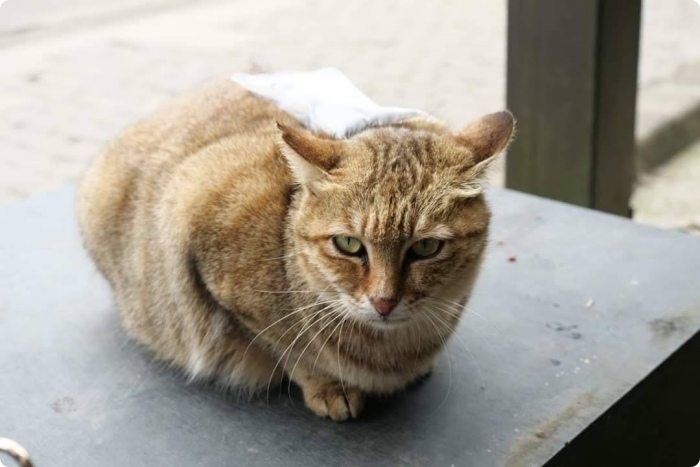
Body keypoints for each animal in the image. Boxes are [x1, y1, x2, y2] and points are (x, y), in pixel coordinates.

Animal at [78, 78, 516, 422]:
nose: (384, 302)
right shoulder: (199, 218)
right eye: (349, 244)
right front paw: (328, 385)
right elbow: (290, 349)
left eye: (426, 247)